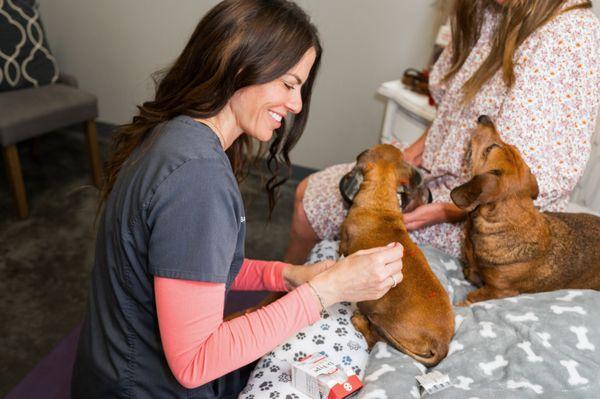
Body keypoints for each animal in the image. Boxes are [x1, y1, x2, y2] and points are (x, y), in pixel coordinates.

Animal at [340, 145, 452, 368]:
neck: (379, 202)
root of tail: (442, 343)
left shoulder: (343, 243)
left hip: (380, 319)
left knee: (373, 338)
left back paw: (359, 321)